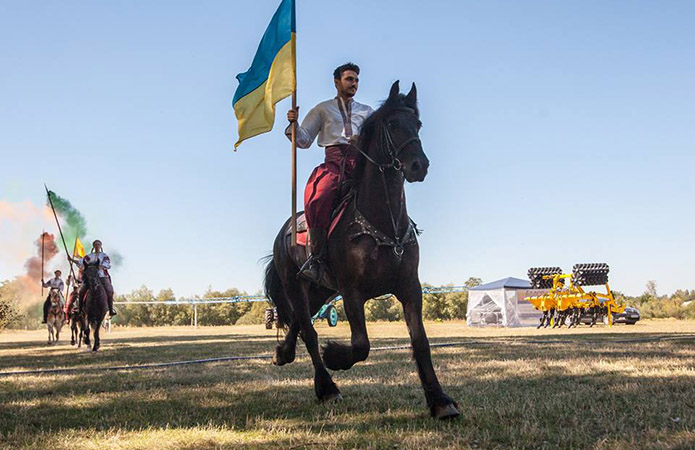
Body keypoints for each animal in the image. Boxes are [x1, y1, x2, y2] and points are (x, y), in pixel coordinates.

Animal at [264, 80, 460, 418]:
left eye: (418, 124)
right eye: (392, 124)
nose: (418, 166)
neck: (383, 221)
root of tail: (283, 231)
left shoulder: (410, 287)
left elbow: (421, 342)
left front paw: (440, 401)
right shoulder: (351, 291)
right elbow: (361, 345)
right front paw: (335, 356)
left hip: (320, 290)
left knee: (301, 324)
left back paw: (284, 353)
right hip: (295, 284)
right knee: (309, 332)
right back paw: (326, 387)